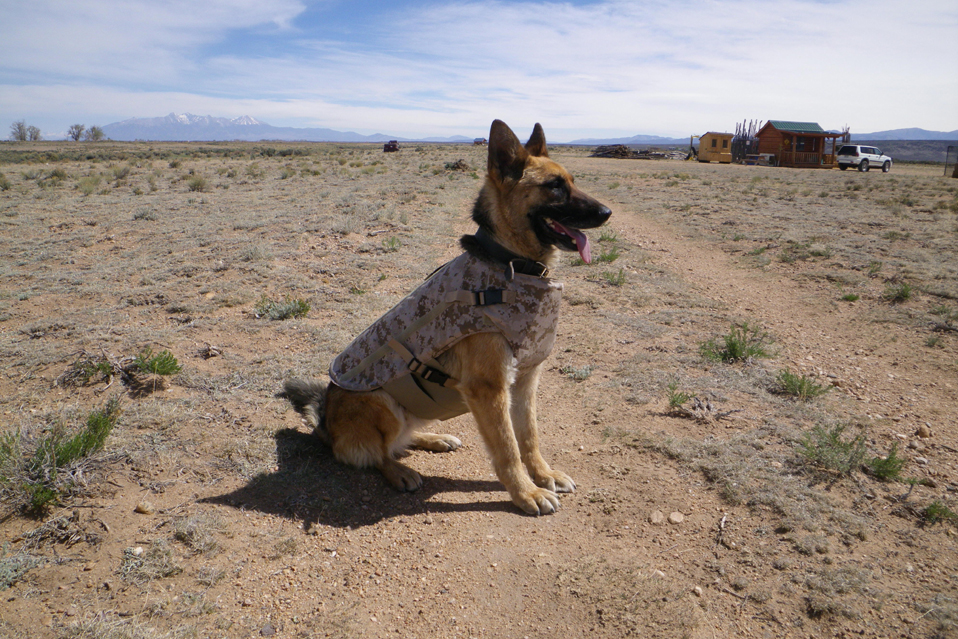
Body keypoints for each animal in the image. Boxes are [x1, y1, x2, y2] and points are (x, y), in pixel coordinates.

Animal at [284, 120, 612, 516]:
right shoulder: (490, 390)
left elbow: (529, 437)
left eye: (573, 181)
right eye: (554, 186)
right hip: (382, 403)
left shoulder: (525, 381)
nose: (607, 213)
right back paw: (399, 471)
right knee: (373, 454)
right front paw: (525, 493)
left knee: (401, 439)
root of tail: (325, 425)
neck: (510, 262)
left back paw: (436, 438)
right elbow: (507, 449)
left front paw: (543, 474)